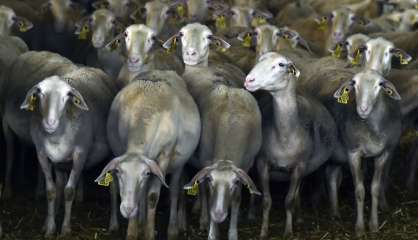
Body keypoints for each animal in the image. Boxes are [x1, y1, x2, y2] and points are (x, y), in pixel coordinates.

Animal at [1, 50, 116, 236]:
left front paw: (65, 230)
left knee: (113, 187)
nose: (50, 122)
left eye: (67, 96)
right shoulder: (43, 154)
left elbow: (69, 191)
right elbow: (52, 191)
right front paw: (49, 228)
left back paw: (113, 224)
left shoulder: (80, 154)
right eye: (40, 94)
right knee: (11, 153)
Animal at [95, 69, 200, 240]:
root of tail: (162, 70)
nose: (128, 209)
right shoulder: (119, 149)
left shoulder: (164, 156)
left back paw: (173, 228)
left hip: (178, 162)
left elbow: (152, 196)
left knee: (174, 190)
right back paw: (140, 223)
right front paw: (132, 232)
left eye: (145, 173)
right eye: (118, 172)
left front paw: (149, 233)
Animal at [245, 51, 336, 237]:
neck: (285, 136)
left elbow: (289, 200)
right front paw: (263, 231)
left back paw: (299, 217)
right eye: (260, 59)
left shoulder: (299, 166)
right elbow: (267, 200)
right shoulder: (262, 163)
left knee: (297, 193)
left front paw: (288, 231)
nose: (249, 80)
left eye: (281, 64)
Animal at [332, 69, 404, 236]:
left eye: (380, 84)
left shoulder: (383, 154)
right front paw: (359, 228)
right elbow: (359, 191)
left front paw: (374, 225)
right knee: (332, 176)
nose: (363, 109)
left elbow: (375, 189)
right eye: (354, 83)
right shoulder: (352, 153)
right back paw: (335, 212)